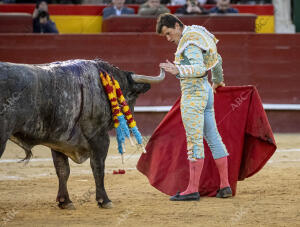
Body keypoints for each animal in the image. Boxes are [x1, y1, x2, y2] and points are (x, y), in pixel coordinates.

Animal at [0, 59, 164, 209]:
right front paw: (104, 200)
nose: (131, 112)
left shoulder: (58, 141)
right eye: (130, 95)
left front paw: (65, 201)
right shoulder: (99, 137)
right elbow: (98, 167)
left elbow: (62, 170)